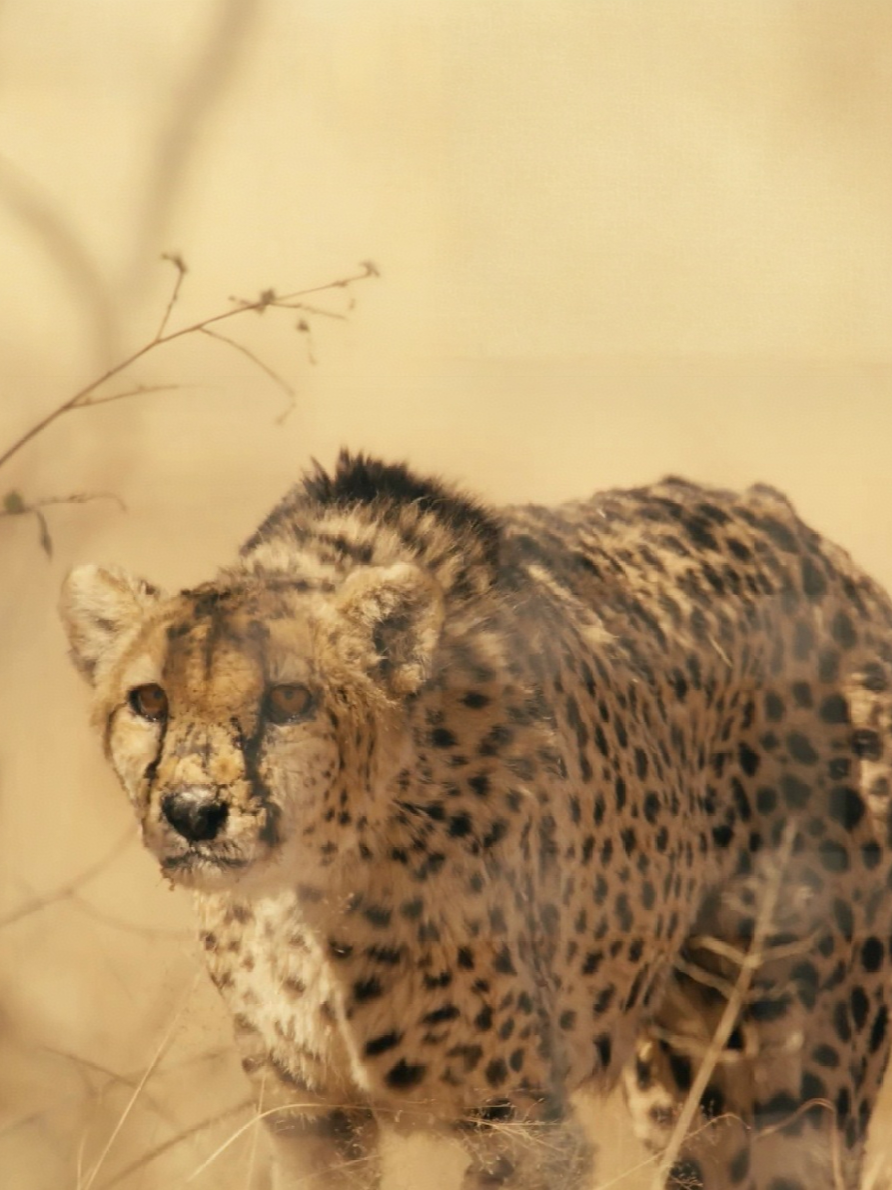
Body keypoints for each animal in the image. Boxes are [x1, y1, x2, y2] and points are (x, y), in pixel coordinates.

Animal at [60, 451, 892, 1190]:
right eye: (149, 701)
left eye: (289, 699)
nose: (194, 812)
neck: (312, 894)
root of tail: (799, 531)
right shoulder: (309, 1116)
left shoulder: (520, 1121)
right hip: (692, 1084)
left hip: (804, 1079)